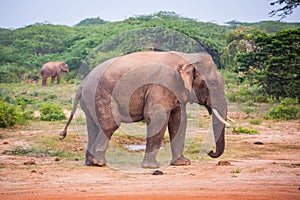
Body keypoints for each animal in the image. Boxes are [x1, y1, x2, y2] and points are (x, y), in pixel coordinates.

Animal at [60, 50, 230, 168]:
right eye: (210, 84)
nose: (210, 152)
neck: (186, 57)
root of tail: (81, 85)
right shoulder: (162, 84)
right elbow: (158, 117)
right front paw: (152, 167)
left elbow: (179, 120)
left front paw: (183, 163)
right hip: (100, 95)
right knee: (110, 124)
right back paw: (100, 163)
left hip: (90, 100)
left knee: (93, 127)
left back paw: (92, 163)